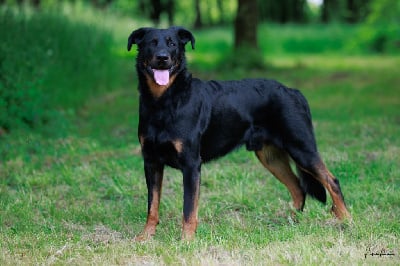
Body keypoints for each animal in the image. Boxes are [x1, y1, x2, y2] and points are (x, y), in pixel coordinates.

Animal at [128, 26, 350, 241]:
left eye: (172, 44)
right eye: (151, 43)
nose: (162, 57)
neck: (163, 102)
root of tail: (294, 92)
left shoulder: (191, 164)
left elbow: (189, 209)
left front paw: (186, 241)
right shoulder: (151, 161)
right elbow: (152, 205)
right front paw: (146, 236)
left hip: (301, 148)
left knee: (332, 181)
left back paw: (346, 221)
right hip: (271, 156)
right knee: (297, 187)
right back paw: (291, 221)